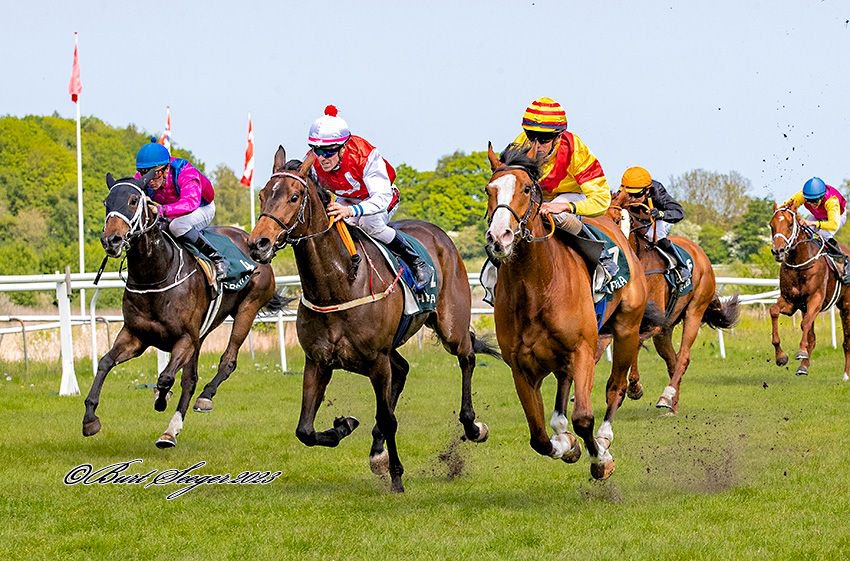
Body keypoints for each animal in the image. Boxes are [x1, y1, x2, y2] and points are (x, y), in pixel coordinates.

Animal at [82, 174, 276, 446]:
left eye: (133, 200)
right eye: (106, 202)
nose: (112, 240)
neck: (155, 276)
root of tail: (256, 243)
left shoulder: (184, 338)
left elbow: (165, 377)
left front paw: (161, 399)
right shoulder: (135, 336)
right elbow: (104, 363)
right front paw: (90, 418)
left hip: (247, 310)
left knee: (227, 361)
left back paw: (203, 398)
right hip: (202, 334)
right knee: (190, 380)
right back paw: (171, 430)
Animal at [245, 147, 496, 492]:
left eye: (294, 197)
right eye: (263, 194)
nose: (259, 244)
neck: (337, 286)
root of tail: (438, 233)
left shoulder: (377, 360)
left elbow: (388, 419)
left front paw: (397, 478)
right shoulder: (318, 361)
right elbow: (305, 430)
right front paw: (344, 426)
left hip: (449, 325)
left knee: (467, 356)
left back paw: (473, 426)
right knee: (403, 370)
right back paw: (377, 452)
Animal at [484, 142, 656, 480]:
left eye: (526, 188)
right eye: (488, 190)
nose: (499, 238)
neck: (537, 286)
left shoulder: (583, 349)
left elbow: (584, 418)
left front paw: (600, 459)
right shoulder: (520, 365)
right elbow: (538, 437)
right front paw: (567, 445)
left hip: (626, 329)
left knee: (615, 388)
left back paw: (604, 438)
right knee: (563, 390)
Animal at [608, 188, 740, 412]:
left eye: (619, 220)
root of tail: (700, 252)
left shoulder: (652, 322)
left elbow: (635, 344)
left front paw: (633, 387)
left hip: (695, 311)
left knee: (683, 357)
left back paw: (666, 396)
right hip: (666, 328)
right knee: (673, 360)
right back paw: (672, 404)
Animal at [768, 203, 848, 378]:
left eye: (790, 224)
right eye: (771, 225)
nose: (778, 251)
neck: (799, 263)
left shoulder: (816, 299)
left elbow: (804, 324)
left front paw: (801, 352)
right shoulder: (791, 302)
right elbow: (773, 311)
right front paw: (781, 357)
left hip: (846, 306)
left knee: (847, 340)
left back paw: (846, 374)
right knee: (813, 337)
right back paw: (803, 367)